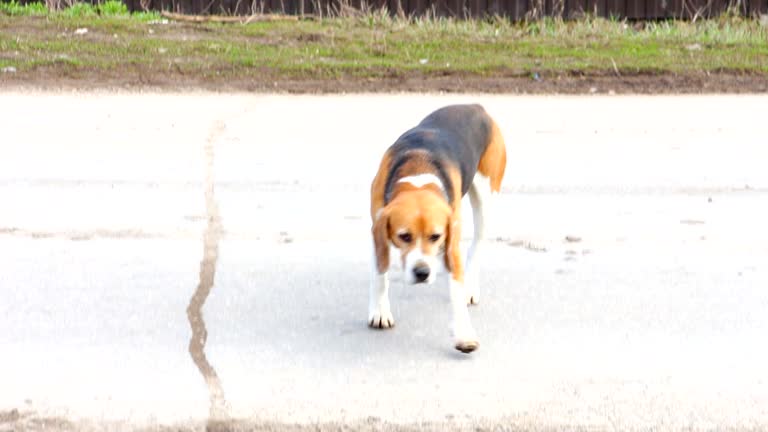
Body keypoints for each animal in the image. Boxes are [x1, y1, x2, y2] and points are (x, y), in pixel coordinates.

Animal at [368, 104, 508, 354]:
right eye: (404, 236)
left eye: (435, 236)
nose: (422, 273)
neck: (417, 173)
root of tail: (475, 106)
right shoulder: (377, 226)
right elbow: (379, 273)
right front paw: (379, 310)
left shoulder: (451, 239)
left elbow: (456, 287)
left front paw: (463, 334)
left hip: (485, 198)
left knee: (477, 244)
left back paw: (469, 287)